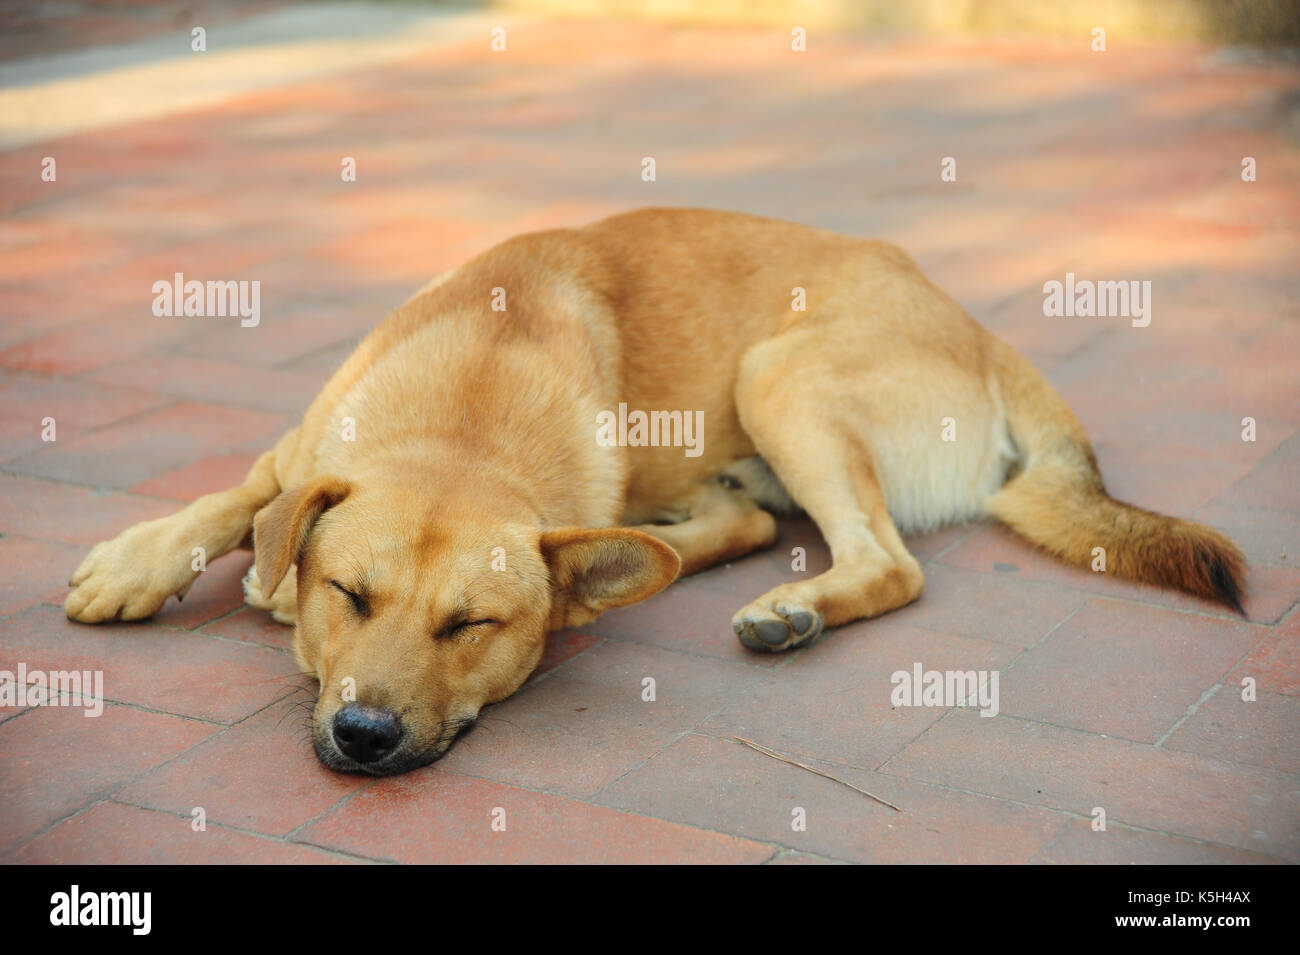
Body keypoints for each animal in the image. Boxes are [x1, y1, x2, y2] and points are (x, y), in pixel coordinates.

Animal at [65, 209, 1242, 779]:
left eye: (471, 626)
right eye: (348, 595)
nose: (362, 734)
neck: (471, 407)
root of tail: (977, 327)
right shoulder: (303, 448)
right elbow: (236, 499)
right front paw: (139, 559)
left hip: (780, 375)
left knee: (883, 562)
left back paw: (791, 606)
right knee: (749, 519)